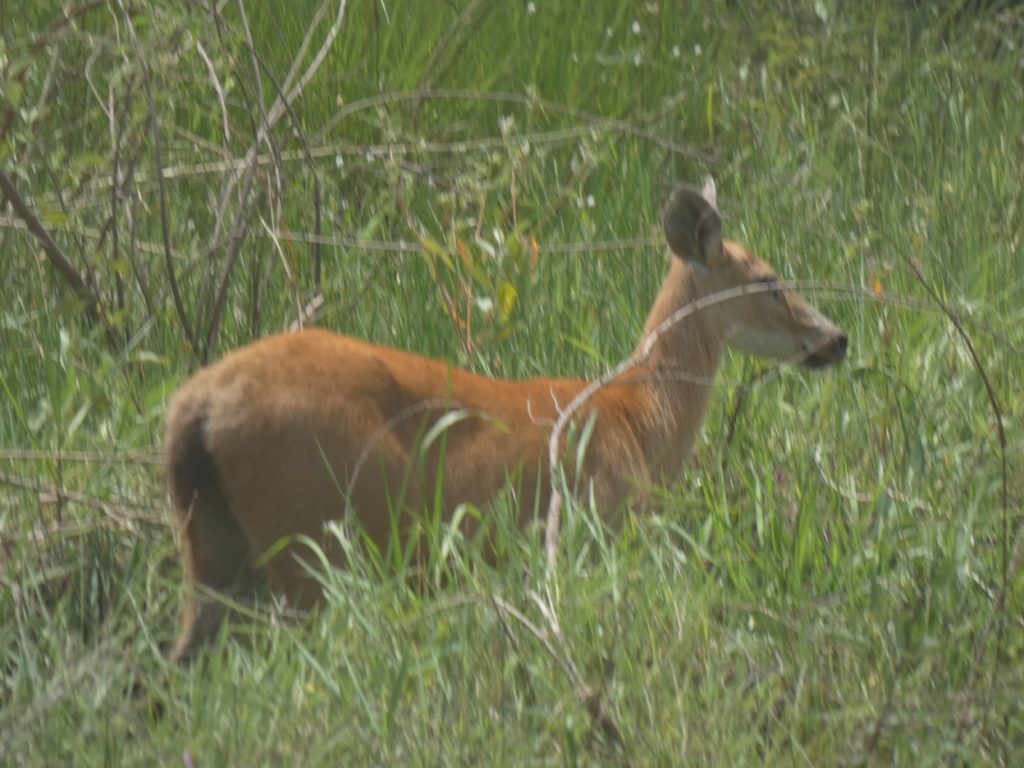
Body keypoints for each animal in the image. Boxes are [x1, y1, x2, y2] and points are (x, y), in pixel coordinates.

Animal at [161, 180, 847, 663]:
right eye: (770, 281)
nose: (837, 338)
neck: (641, 419)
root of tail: (195, 407)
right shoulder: (595, 525)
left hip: (215, 544)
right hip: (310, 537)